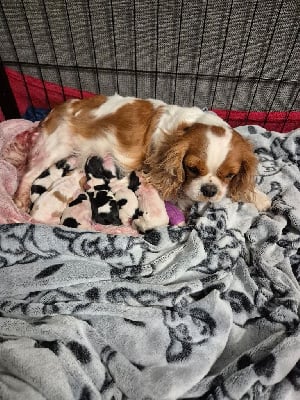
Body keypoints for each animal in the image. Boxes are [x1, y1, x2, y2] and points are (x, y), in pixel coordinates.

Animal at [14, 94, 272, 212]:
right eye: (192, 168)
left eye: (229, 175)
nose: (209, 190)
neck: (181, 130)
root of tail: (56, 110)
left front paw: (258, 197)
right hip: (55, 148)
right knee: (28, 174)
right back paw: (20, 199)